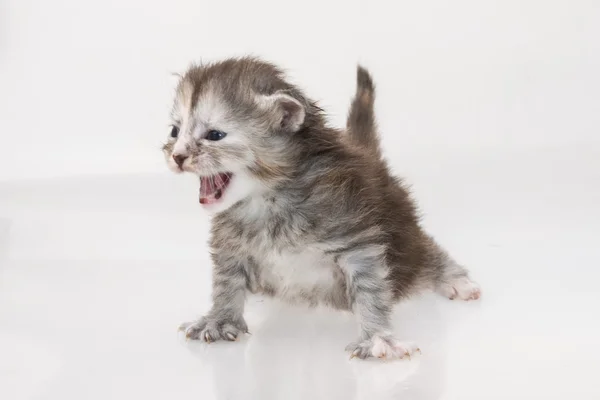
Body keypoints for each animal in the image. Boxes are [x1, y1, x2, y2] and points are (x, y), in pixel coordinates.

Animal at [162, 56, 480, 360]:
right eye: (175, 131)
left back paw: (455, 279)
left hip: (406, 231)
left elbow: (370, 287)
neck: (268, 199)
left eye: (215, 135)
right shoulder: (230, 243)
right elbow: (226, 282)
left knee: (425, 251)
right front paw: (219, 319)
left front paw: (378, 338)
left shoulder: (356, 236)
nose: (177, 156)